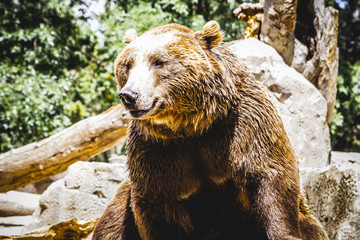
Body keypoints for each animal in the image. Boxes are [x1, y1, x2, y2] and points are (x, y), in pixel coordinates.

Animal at [93, 21, 330, 239]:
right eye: (128, 65)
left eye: (159, 62)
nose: (129, 95)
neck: (191, 125)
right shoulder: (156, 147)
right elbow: (157, 201)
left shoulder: (244, 127)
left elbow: (271, 177)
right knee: (113, 220)